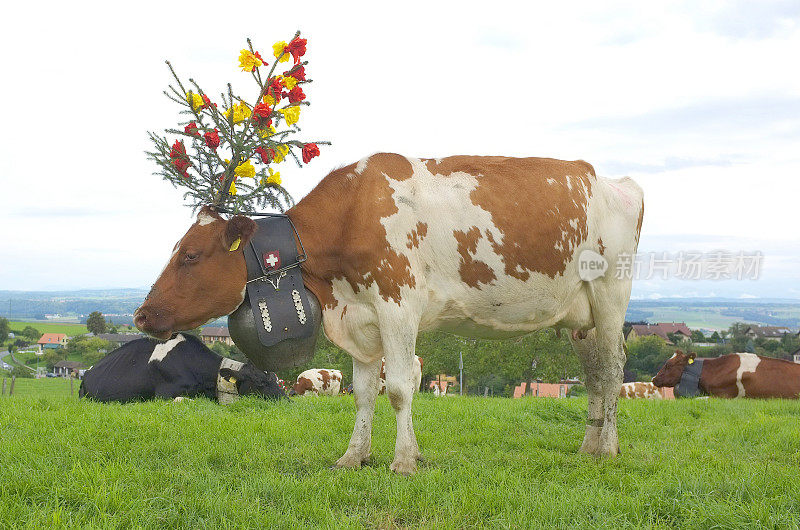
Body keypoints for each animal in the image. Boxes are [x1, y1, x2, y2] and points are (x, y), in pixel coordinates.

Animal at [79, 332, 286, 402]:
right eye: (260, 382)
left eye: (276, 379)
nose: (287, 401)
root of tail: (87, 372)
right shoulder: (163, 395)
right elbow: (183, 400)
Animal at [133, 151, 644, 472]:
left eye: (190, 255)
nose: (141, 315)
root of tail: (611, 180)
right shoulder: (361, 318)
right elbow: (362, 394)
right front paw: (353, 456)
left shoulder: (399, 305)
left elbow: (398, 388)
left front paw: (404, 460)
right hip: (581, 317)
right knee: (594, 374)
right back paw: (590, 446)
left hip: (610, 295)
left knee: (613, 369)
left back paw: (609, 448)